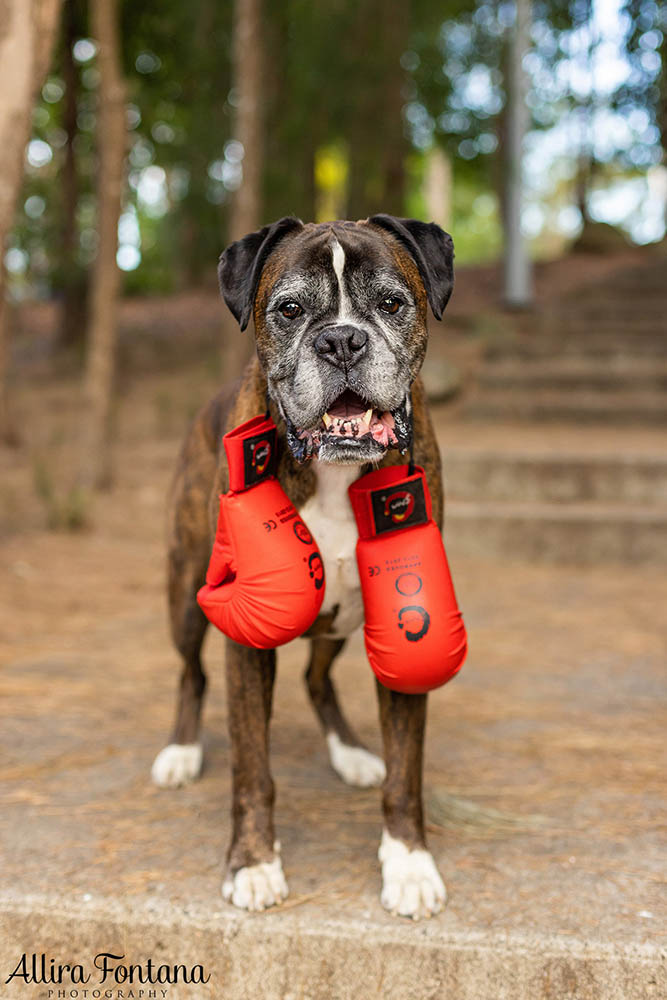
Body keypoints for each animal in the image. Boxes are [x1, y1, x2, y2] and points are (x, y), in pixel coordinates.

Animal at [151, 215, 454, 916]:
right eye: (289, 309)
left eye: (391, 303)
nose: (342, 340)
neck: (333, 472)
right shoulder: (245, 640)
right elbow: (251, 768)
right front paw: (253, 863)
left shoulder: (404, 627)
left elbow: (407, 770)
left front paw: (409, 864)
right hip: (185, 595)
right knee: (190, 674)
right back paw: (180, 750)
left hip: (342, 620)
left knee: (317, 679)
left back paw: (352, 754)